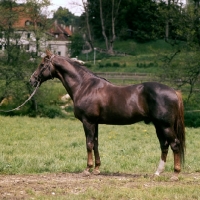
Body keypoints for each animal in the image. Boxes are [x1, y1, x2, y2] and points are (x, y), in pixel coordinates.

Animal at [29, 50, 186, 180]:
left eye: (42, 64)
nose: (32, 80)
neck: (84, 86)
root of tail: (174, 91)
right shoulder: (95, 123)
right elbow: (96, 144)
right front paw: (97, 169)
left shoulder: (88, 121)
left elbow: (89, 144)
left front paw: (87, 169)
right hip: (159, 126)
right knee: (164, 145)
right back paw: (157, 172)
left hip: (165, 126)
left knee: (174, 144)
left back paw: (175, 174)